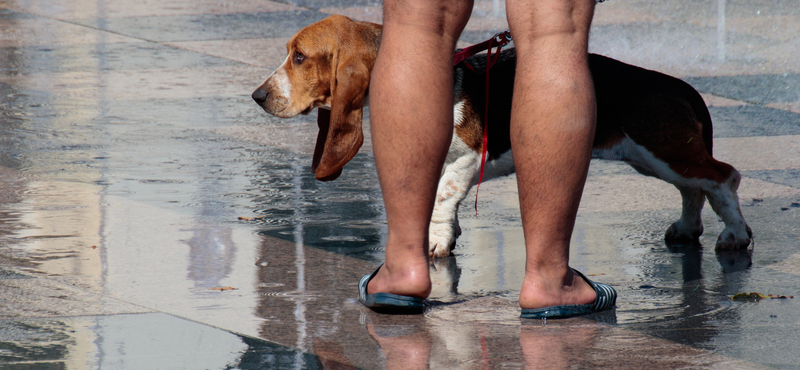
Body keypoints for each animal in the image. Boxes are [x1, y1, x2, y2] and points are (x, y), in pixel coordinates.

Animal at [250, 14, 752, 258]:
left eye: (299, 57)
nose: (257, 96)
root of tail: (679, 85)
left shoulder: (469, 157)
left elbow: (443, 196)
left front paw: (436, 242)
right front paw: (446, 240)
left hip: (661, 149)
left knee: (723, 177)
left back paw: (735, 235)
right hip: (653, 157)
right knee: (694, 188)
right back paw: (687, 229)